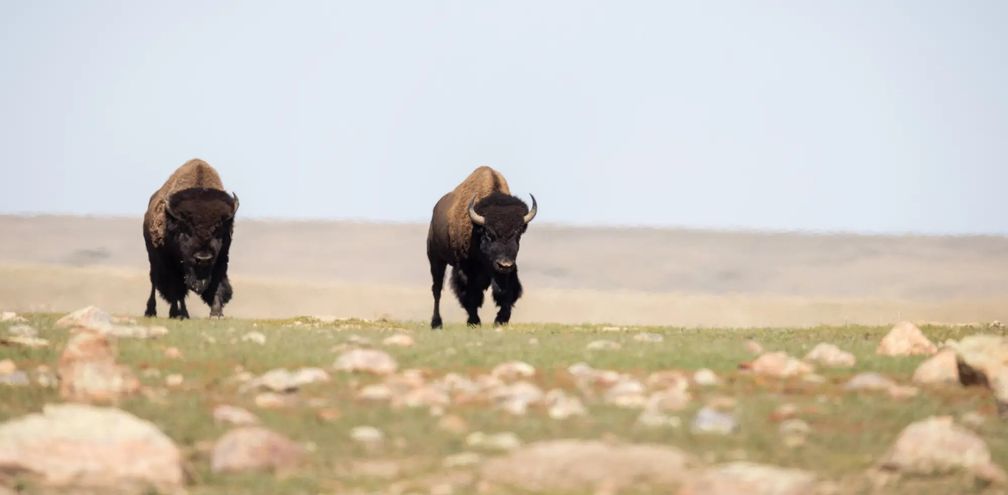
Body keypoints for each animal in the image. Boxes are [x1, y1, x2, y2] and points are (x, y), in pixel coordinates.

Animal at [143, 159, 239, 319]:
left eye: (218, 230)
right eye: (186, 230)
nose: (203, 258)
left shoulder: (221, 259)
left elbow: (217, 284)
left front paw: (216, 313)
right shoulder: (171, 264)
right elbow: (176, 289)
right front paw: (177, 313)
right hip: (154, 261)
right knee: (155, 283)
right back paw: (154, 312)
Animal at [427, 166, 537, 328]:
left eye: (517, 234)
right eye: (489, 234)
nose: (504, 264)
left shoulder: (508, 270)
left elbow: (506, 292)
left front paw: (501, 319)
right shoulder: (465, 269)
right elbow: (470, 294)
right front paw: (474, 321)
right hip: (436, 258)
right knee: (437, 289)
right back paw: (436, 323)